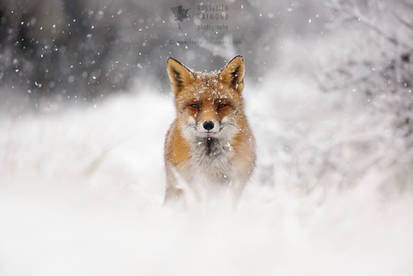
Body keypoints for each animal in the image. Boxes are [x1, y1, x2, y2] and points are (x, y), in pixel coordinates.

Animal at [163, 56, 254, 203]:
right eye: (195, 105)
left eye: (221, 105)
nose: (208, 124)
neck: (210, 161)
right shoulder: (192, 182)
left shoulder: (233, 182)